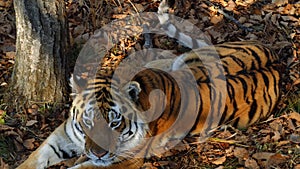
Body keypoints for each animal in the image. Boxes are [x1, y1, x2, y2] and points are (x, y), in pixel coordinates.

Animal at [17, 1, 282, 169]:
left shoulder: (122, 161)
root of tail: (276, 59)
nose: (98, 153)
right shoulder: (65, 133)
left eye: (115, 122)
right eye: (88, 121)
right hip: (184, 59)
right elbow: (34, 158)